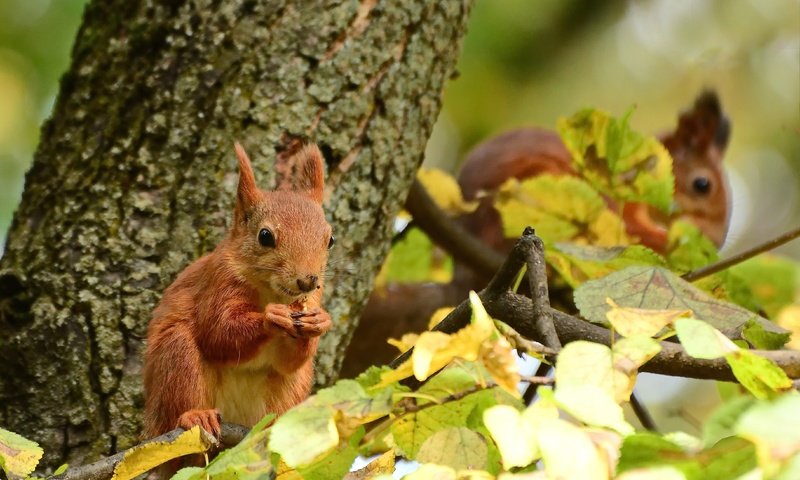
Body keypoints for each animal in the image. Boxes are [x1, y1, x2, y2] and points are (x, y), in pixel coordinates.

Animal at [142, 142, 332, 442]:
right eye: (265, 236)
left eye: (330, 240)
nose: (308, 281)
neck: (271, 292)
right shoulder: (218, 283)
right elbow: (218, 334)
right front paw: (271, 317)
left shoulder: (312, 299)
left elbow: (290, 362)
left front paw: (320, 321)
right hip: (175, 358)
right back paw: (195, 415)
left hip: (292, 389)